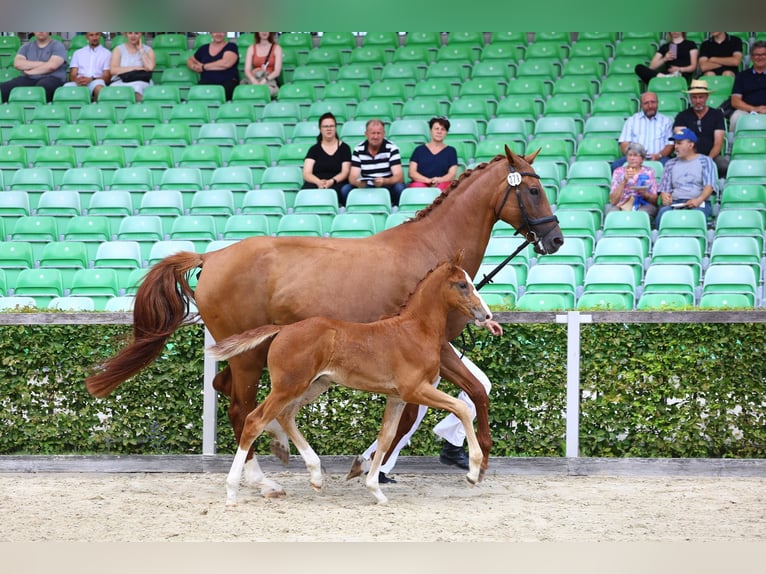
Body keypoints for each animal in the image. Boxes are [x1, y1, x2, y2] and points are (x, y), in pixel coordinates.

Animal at [208, 253, 493, 505]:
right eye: (462, 284)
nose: (486, 315)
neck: (413, 330)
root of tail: (284, 329)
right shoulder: (415, 390)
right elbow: (461, 409)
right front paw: (473, 472)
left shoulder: (397, 398)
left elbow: (386, 437)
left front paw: (375, 490)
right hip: (288, 386)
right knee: (254, 420)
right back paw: (234, 491)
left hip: (314, 385)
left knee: (285, 415)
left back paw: (314, 474)